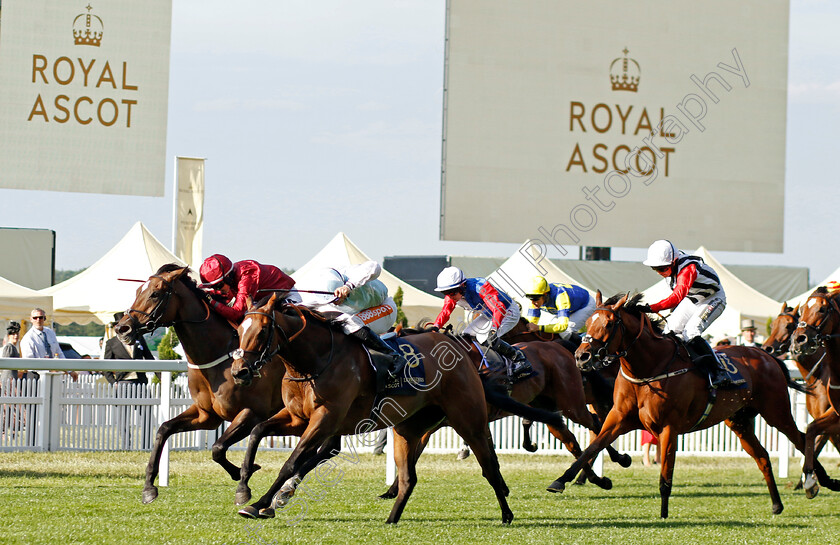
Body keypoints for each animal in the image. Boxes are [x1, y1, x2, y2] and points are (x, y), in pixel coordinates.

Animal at [115, 264, 288, 502]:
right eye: (137, 291)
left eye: (155, 293)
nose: (122, 328)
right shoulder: (206, 415)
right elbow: (164, 429)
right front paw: (149, 487)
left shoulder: (253, 412)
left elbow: (217, 447)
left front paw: (244, 477)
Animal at [230, 294, 568, 524]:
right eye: (239, 330)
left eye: (262, 330)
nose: (239, 371)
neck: (316, 360)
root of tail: (464, 354)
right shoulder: (297, 417)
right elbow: (257, 432)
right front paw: (245, 488)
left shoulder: (325, 419)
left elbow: (291, 462)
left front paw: (261, 502)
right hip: (410, 427)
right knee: (411, 476)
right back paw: (393, 516)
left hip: (468, 418)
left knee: (488, 464)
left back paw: (508, 512)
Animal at [548, 292, 836, 516]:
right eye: (589, 321)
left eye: (608, 324)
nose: (582, 357)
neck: (648, 368)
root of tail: (765, 355)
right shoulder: (618, 419)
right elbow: (590, 448)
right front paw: (560, 481)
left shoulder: (668, 427)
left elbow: (665, 476)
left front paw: (664, 515)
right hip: (739, 421)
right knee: (764, 456)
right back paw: (778, 504)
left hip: (776, 412)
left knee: (801, 437)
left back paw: (816, 482)